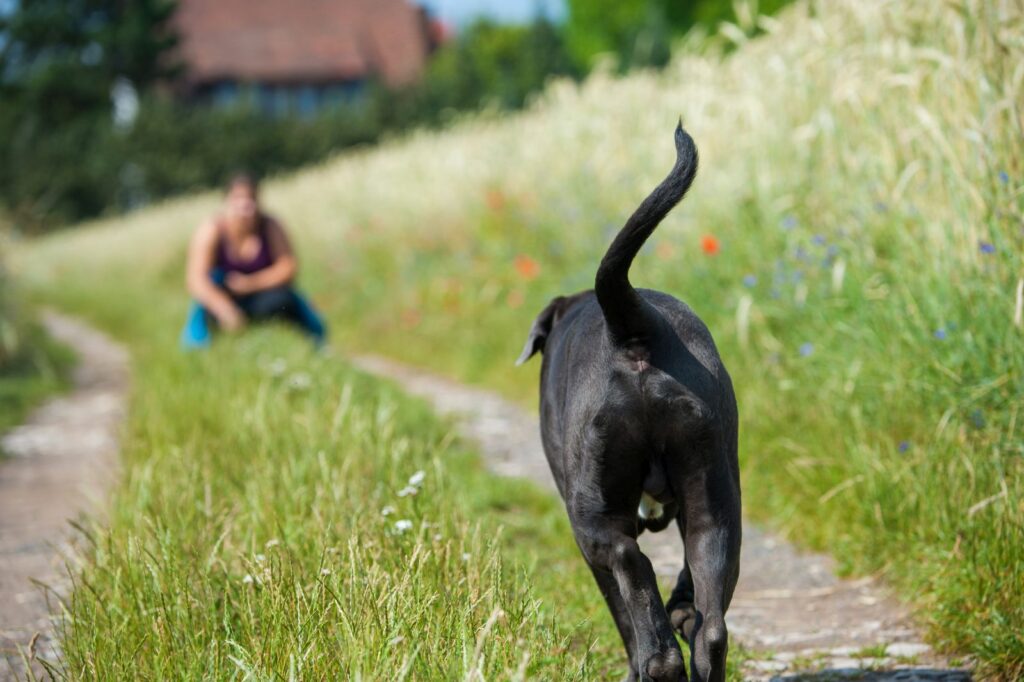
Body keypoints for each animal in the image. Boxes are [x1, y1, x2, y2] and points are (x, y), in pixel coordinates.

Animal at [516, 123, 741, 679]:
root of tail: (635, 327)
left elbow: (622, 608)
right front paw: (683, 607)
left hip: (593, 516)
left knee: (632, 570)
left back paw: (656, 660)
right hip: (715, 494)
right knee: (711, 626)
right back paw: (689, 624)